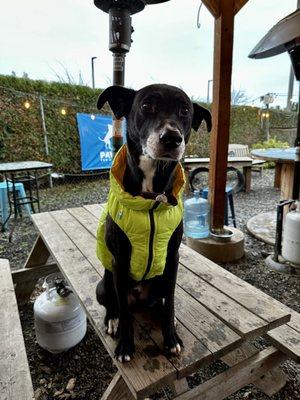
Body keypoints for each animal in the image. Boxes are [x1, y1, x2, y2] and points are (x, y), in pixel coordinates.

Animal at [95, 84, 211, 362]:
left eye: (185, 111)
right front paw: (126, 346)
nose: (172, 138)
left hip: (159, 281)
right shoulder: (120, 262)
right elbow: (125, 315)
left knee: (161, 303)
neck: (151, 199)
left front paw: (171, 338)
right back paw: (113, 320)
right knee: (116, 306)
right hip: (105, 285)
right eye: (147, 106)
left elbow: (171, 303)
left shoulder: (172, 259)